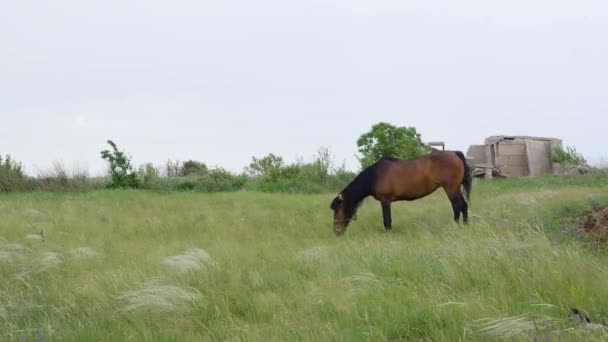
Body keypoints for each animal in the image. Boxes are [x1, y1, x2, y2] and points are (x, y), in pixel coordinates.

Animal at [330, 150, 472, 235]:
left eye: (337, 210)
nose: (336, 232)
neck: (375, 176)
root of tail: (454, 154)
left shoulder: (385, 201)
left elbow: (387, 221)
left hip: (451, 189)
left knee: (457, 207)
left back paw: (455, 226)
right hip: (455, 189)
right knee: (463, 206)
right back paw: (465, 226)